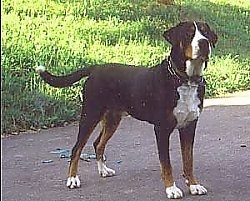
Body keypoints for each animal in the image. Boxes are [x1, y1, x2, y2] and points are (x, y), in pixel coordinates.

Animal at [36, 21, 218, 199]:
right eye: (188, 34)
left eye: (205, 33)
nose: (204, 43)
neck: (184, 81)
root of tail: (96, 68)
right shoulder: (162, 129)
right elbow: (166, 164)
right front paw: (171, 189)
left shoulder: (189, 126)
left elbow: (188, 160)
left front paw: (193, 185)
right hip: (90, 115)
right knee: (76, 149)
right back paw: (73, 179)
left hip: (112, 119)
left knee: (97, 143)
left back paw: (103, 170)